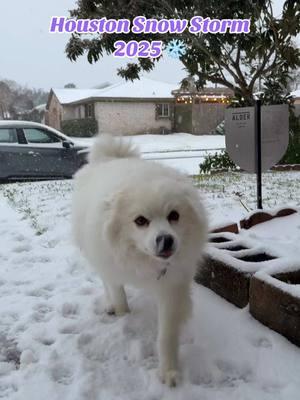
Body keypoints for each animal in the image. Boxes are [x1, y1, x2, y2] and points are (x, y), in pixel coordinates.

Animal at [72, 135, 207, 388]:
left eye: (174, 215)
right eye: (140, 221)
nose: (166, 240)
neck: (143, 260)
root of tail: (110, 157)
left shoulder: (172, 288)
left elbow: (166, 335)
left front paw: (169, 372)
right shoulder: (113, 267)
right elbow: (119, 297)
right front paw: (122, 315)